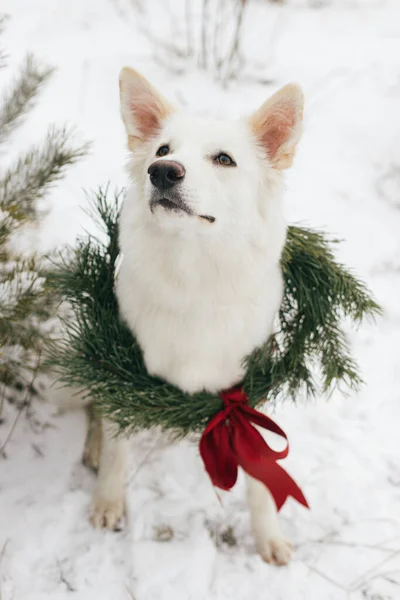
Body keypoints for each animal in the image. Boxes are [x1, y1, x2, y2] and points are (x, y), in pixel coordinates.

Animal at [88, 68, 304, 564]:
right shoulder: (119, 370)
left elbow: (260, 479)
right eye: (162, 150)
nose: (163, 172)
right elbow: (117, 450)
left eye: (224, 159)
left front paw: (268, 537)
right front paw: (108, 500)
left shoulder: (247, 389)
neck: (195, 279)